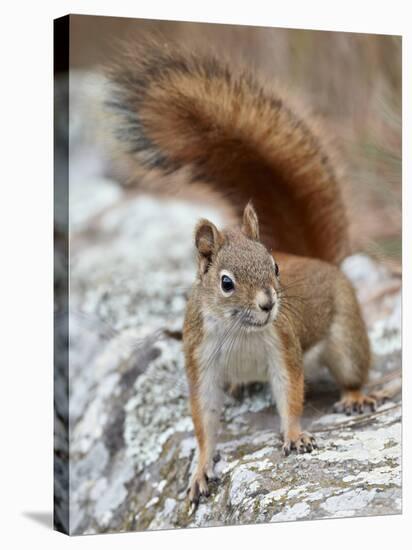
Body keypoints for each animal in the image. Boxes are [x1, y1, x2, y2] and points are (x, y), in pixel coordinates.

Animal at [108, 36, 382, 506]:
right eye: (226, 283)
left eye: (275, 266)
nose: (269, 304)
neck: (240, 332)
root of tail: (320, 261)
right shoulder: (199, 358)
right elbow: (204, 417)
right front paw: (201, 468)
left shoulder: (283, 345)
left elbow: (290, 392)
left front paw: (294, 435)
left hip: (346, 333)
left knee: (351, 368)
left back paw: (355, 395)